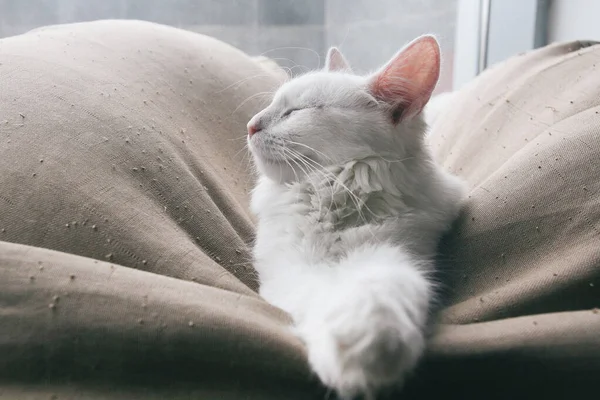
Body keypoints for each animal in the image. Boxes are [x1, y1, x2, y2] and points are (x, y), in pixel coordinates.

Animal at [246, 36, 466, 398]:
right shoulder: (292, 267)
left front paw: (372, 348)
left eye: (295, 112)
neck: (337, 193)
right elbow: (321, 293)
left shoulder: (398, 248)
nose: (250, 125)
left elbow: (380, 290)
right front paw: (354, 355)